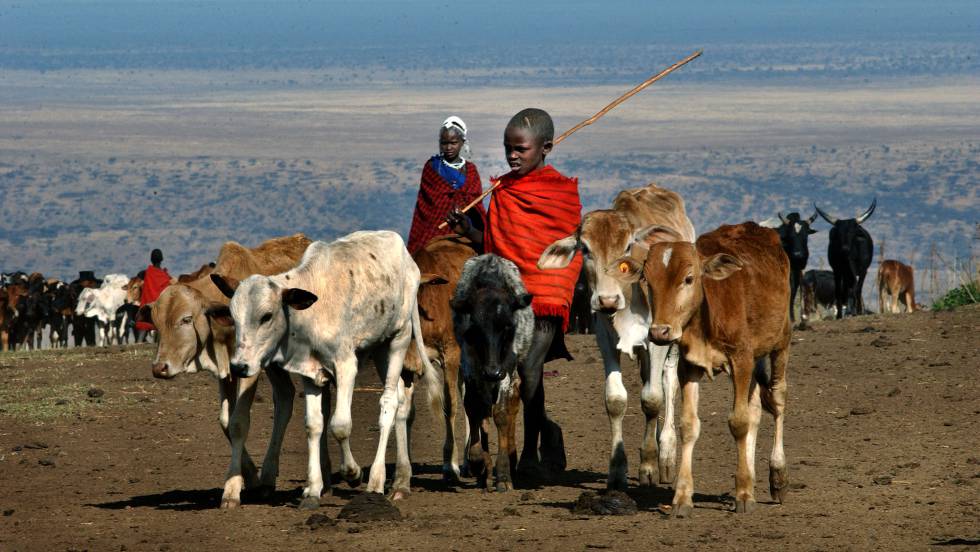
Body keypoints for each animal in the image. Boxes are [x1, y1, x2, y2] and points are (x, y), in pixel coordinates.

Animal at [146, 233, 310, 508]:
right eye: (156, 323)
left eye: (186, 319)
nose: (160, 368)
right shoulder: (226, 373)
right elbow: (226, 421)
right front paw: (251, 479)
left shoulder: (249, 370)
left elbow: (239, 422)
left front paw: (232, 491)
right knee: (285, 397)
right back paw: (268, 478)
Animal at [216, 230, 442, 508]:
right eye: (233, 318)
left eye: (266, 316)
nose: (238, 366)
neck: (314, 307)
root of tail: (407, 256)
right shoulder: (311, 372)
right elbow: (314, 425)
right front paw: (313, 489)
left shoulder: (346, 366)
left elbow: (340, 425)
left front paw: (352, 473)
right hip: (380, 350)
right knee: (400, 400)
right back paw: (400, 481)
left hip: (398, 340)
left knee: (389, 402)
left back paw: (377, 481)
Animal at [536, 183, 696, 490]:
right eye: (585, 249)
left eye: (628, 246)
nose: (608, 300)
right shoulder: (604, 338)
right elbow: (616, 400)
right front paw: (618, 470)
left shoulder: (656, 340)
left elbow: (653, 399)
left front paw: (649, 465)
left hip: (673, 336)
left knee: (668, 382)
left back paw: (666, 453)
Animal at [616, 222, 792, 516]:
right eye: (647, 281)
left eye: (689, 278)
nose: (660, 331)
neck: (709, 312)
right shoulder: (689, 367)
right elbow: (689, 426)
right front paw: (682, 497)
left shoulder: (741, 359)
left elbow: (739, 421)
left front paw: (743, 494)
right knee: (756, 409)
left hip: (781, 342)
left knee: (777, 401)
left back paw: (778, 477)